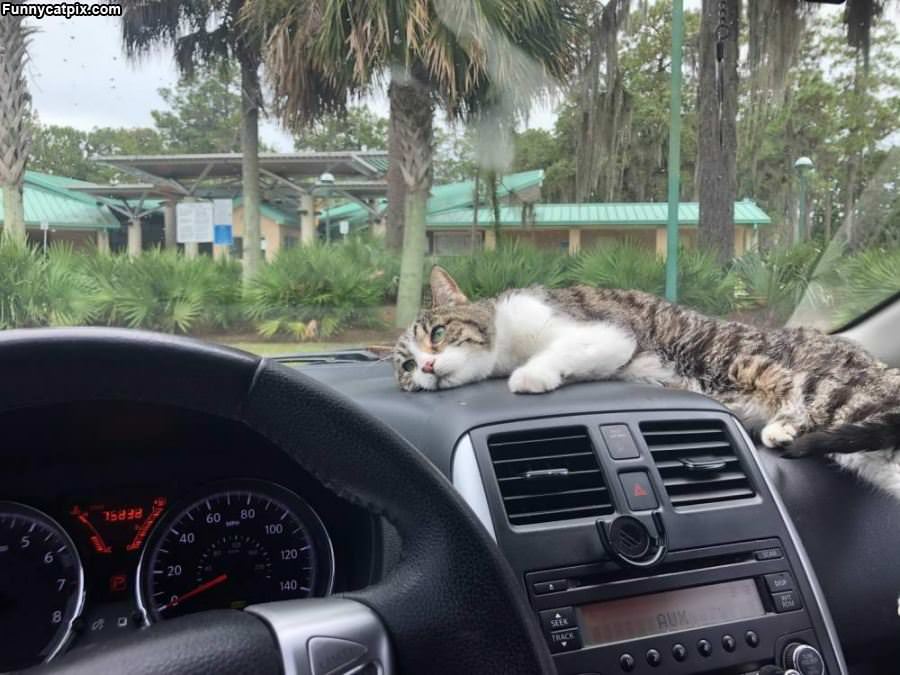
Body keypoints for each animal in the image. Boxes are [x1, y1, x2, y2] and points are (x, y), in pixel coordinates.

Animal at [394, 270, 900, 496]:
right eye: (404, 367)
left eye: (436, 333)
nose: (426, 367)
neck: (505, 345)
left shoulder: (608, 333)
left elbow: (561, 350)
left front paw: (530, 376)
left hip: (839, 397)